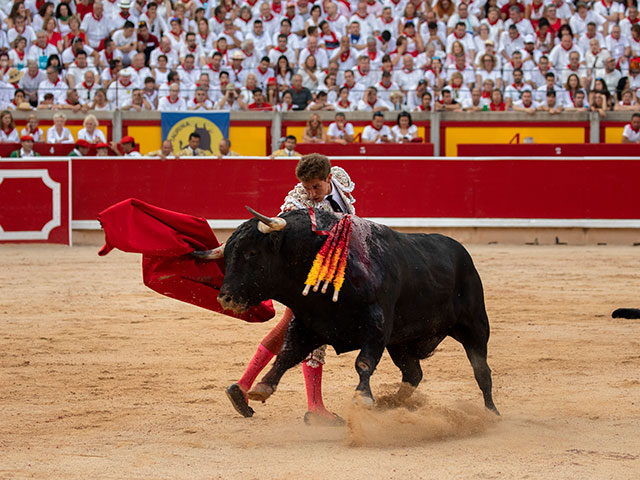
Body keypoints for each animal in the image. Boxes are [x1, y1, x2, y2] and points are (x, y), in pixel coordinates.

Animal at [215, 208, 500, 414]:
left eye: (252, 253)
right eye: (227, 255)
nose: (225, 297)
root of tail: (462, 253)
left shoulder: (376, 325)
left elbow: (363, 362)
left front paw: (363, 397)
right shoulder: (309, 325)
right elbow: (287, 354)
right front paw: (262, 386)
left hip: (475, 327)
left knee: (481, 371)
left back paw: (491, 412)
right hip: (400, 342)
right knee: (413, 373)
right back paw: (393, 403)